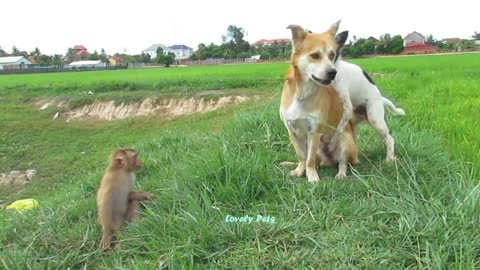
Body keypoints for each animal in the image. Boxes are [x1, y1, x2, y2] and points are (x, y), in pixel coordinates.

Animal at [278, 20, 360, 181]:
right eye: (315, 55)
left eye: (332, 55)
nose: (333, 72)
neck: (302, 93)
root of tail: (328, 161)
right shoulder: (292, 131)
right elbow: (302, 156)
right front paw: (299, 171)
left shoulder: (314, 132)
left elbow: (309, 159)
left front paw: (311, 176)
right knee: (315, 160)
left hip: (344, 140)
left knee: (343, 162)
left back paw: (340, 173)